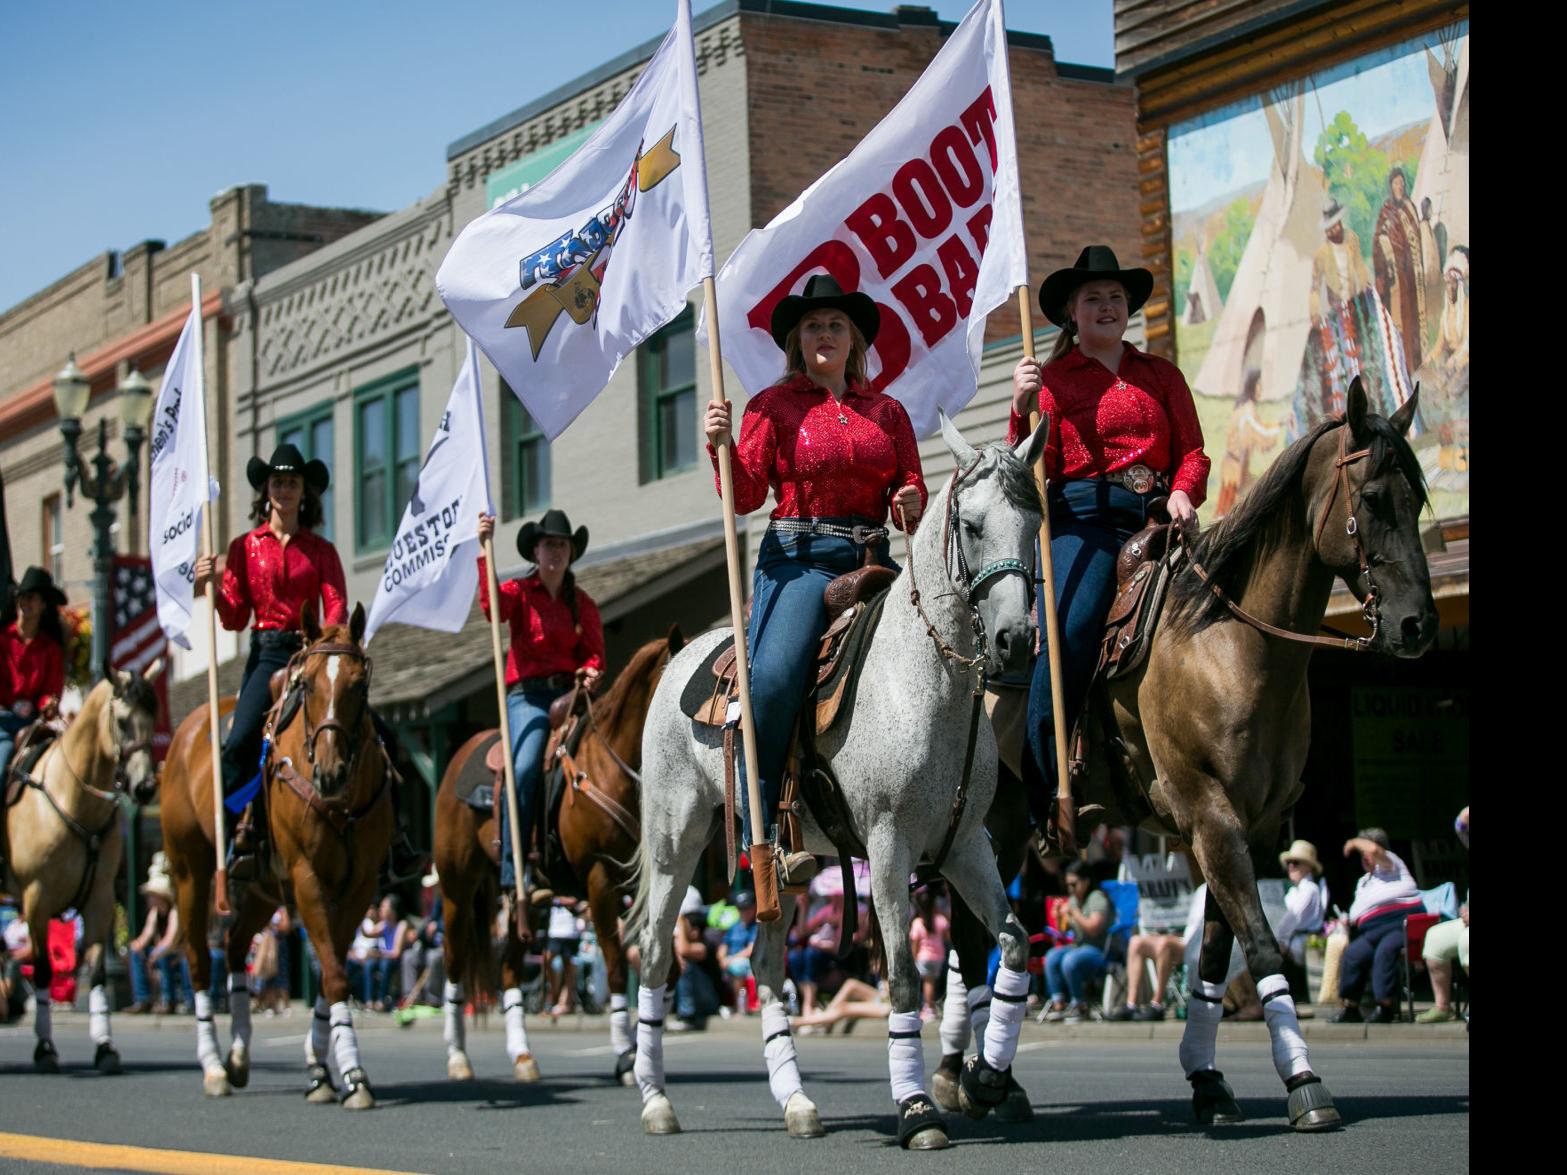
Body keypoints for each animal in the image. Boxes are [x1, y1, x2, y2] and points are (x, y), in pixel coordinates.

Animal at [3, 667, 159, 1084]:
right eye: (122, 721)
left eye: (153, 718)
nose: (146, 787)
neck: (74, 800)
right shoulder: (36, 899)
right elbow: (42, 971)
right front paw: (44, 1048)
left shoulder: (100, 900)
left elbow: (99, 972)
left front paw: (105, 1047)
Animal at [160, 601, 391, 1109]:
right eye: (307, 686)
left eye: (359, 684)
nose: (330, 773)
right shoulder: (307, 878)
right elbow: (335, 974)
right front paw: (355, 1076)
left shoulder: (360, 885)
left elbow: (331, 969)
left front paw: (322, 1071)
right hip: (191, 873)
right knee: (199, 960)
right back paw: (213, 1067)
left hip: (263, 891)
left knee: (234, 945)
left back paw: (239, 1056)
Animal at [435, 636, 680, 1084]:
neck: (611, 770)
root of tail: (461, 753)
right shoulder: (600, 882)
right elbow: (616, 967)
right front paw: (625, 1055)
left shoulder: (643, 885)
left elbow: (667, 966)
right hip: (456, 890)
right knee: (455, 962)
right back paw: (458, 1057)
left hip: (525, 903)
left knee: (510, 969)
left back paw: (523, 1056)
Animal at [626, 413, 1053, 1153]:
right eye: (971, 525)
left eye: (1033, 522)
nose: (1015, 641)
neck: (925, 683)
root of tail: (679, 654)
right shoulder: (887, 844)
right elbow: (905, 979)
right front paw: (917, 1108)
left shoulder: (967, 843)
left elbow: (1014, 944)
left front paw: (989, 1079)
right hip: (676, 838)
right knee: (654, 953)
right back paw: (655, 1101)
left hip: (785, 868)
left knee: (768, 964)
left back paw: (797, 1102)